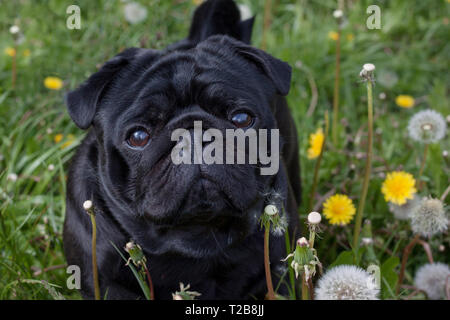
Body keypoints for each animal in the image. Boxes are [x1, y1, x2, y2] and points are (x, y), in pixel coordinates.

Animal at [63, 0, 300, 300]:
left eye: (241, 119)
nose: (195, 136)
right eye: (138, 136)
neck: (196, 235)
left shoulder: (278, 275)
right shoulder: (107, 285)